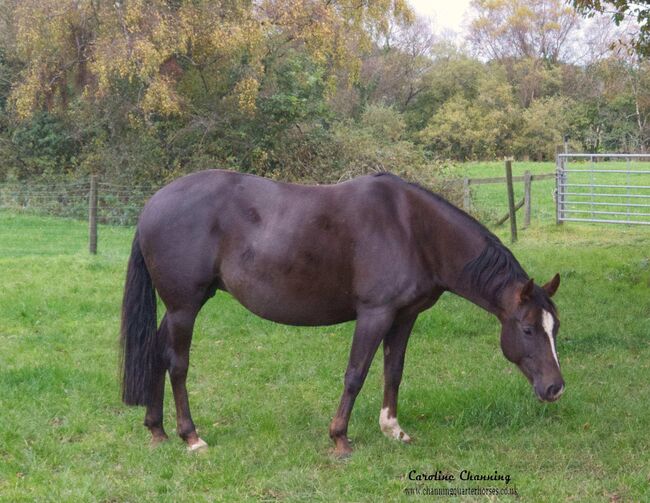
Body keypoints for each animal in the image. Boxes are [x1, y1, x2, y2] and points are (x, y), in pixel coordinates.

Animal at [120, 170, 560, 456]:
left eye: (555, 328)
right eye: (527, 329)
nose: (555, 388)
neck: (413, 230)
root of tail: (152, 204)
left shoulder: (404, 317)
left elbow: (393, 372)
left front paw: (393, 429)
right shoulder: (374, 315)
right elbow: (356, 374)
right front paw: (340, 438)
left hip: (179, 307)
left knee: (157, 353)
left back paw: (156, 430)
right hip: (185, 306)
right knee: (178, 364)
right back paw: (191, 437)